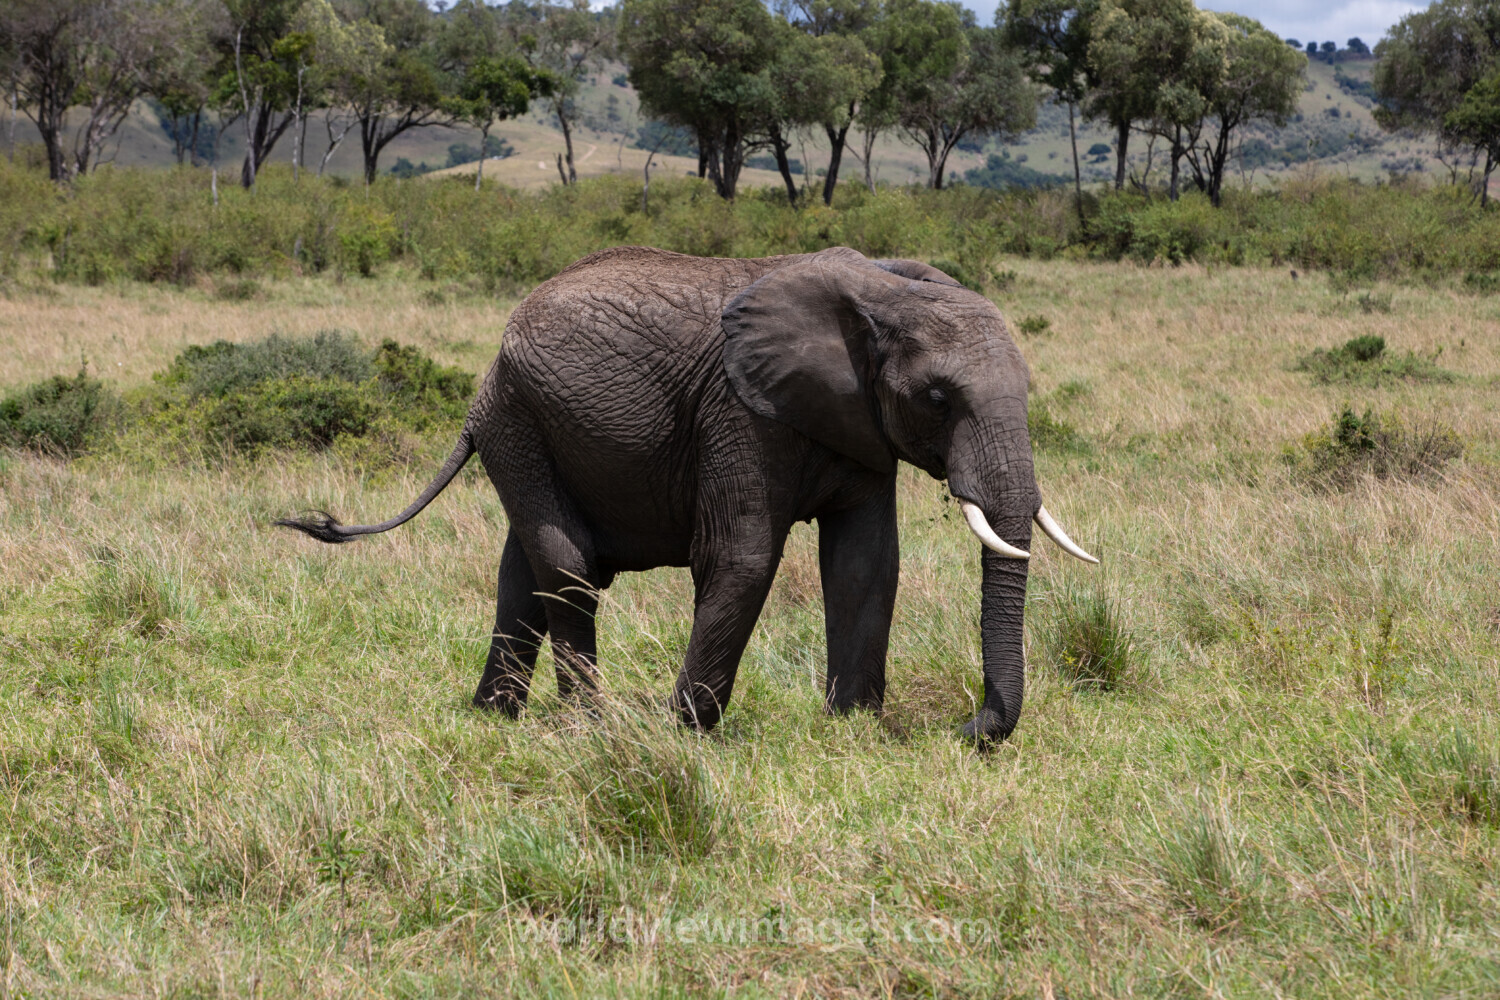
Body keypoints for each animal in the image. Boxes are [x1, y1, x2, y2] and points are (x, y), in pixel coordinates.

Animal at [277, 245, 1097, 742]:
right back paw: (590, 727)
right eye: (936, 398)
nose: (968, 728)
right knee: (567, 565)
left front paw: (851, 728)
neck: (880, 290)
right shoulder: (738, 412)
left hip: (526, 425)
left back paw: (495, 720)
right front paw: (688, 731)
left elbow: (866, 563)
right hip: (519, 417)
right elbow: (741, 555)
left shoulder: (858, 424)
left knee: (522, 573)